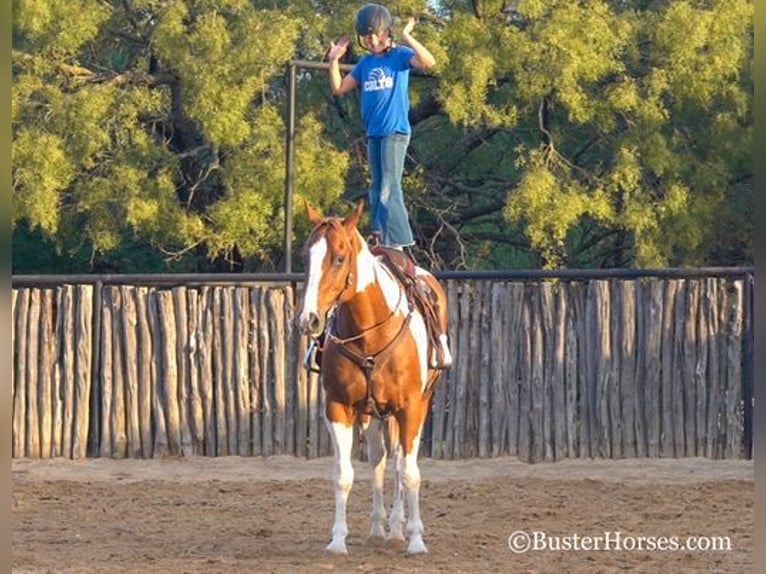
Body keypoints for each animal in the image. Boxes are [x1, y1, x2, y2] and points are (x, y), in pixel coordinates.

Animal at [296, 201, 452, 560]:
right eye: (305, 256)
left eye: (339, 257)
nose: (309, 320)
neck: (371, 332)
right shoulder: (338, 407)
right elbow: (344, 474)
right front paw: (338, 540)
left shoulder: (410, 408)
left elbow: (409, 473)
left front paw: (416, 540)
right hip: (373, 413)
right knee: (379, 459)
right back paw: (380, 528)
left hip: (415, 405)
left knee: (398, 463)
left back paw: (397, 528)